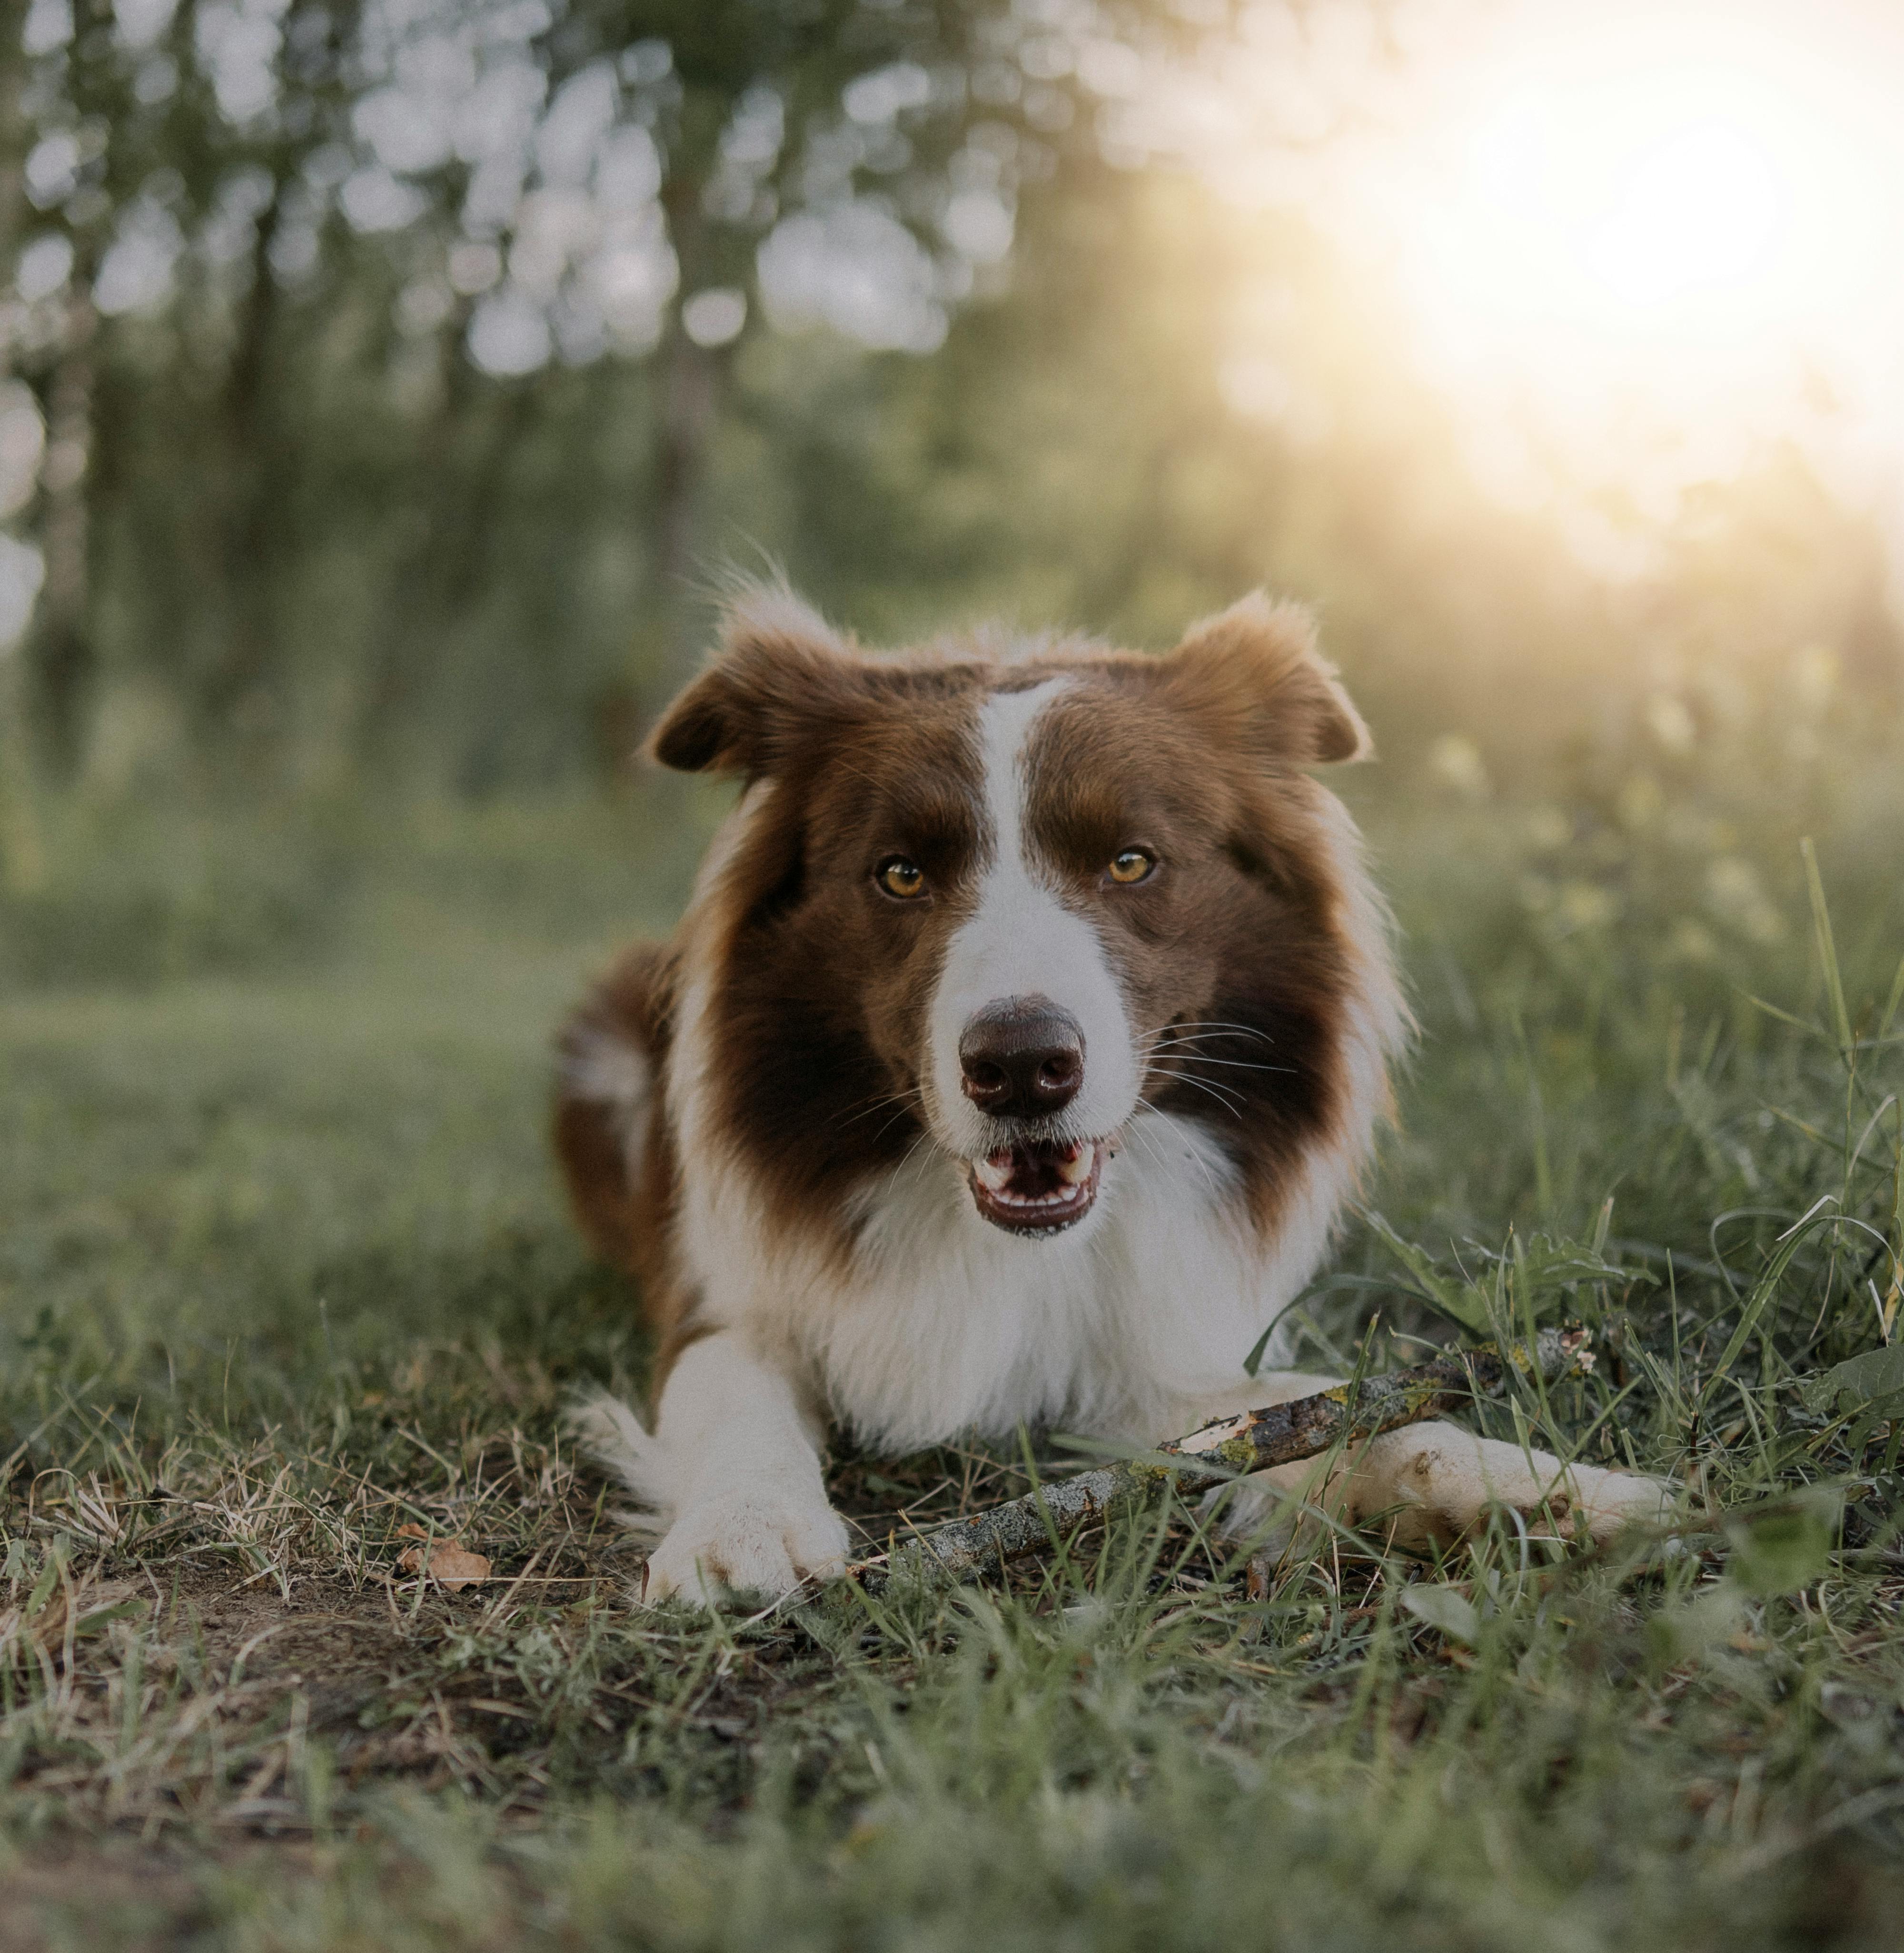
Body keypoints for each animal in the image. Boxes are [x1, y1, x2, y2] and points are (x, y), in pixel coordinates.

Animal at [550, 585, 1671, 1594]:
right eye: (901, 873)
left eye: (1131, 861)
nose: (1020, 1065)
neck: (1017, 1246)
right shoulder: (723, 1290)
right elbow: (726, 1381)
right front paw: (743, 1525)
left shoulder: (1157, 1348)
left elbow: (1329, 1408)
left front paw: (1545, 1487)